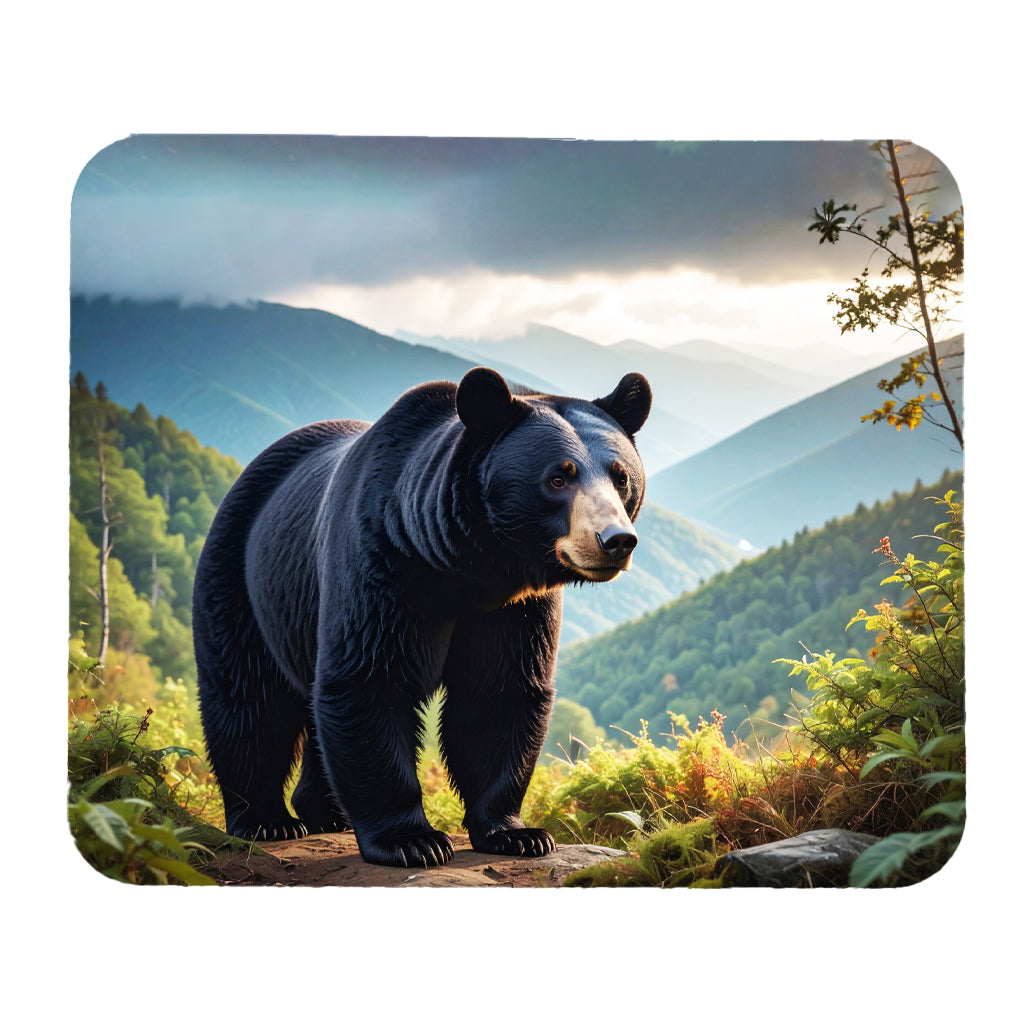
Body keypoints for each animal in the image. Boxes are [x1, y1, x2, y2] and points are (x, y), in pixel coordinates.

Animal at [193, 366, 652, 868]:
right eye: (558, 478)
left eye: (621, 477)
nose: (616, 540)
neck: (470, 565)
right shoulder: (385, 567)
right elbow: (370, 680)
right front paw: (413, 840)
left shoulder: (514, 609)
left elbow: (498, 694)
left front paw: (518, 833)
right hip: (243, 577)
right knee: (248, 696)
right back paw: (266, 819)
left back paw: (325, 812)